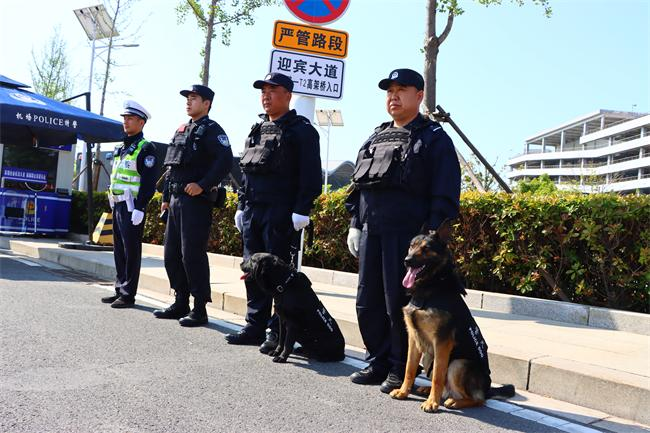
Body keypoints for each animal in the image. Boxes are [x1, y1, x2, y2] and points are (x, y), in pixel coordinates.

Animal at [388, 221, 512, 414]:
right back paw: (429, 390)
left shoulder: (442, 343)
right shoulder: (414, 340)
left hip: (457, 364)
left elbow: (438, 376)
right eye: (411, 245)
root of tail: (487, 388)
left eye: (426, 249)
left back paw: (453, 401)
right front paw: (403, 392)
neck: (432, 286)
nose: (407, 260)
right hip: (429, 356)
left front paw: (432, 403)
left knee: (478, 399)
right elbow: (409, 368)